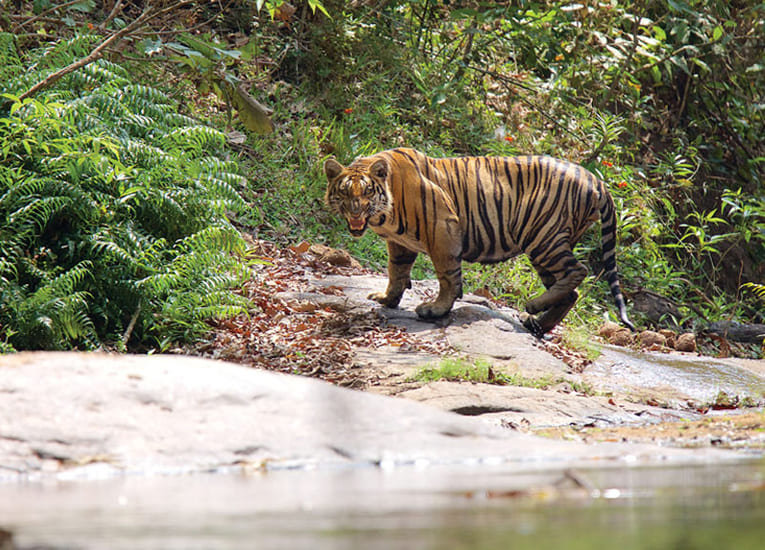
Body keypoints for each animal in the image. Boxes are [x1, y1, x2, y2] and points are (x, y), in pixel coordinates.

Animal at [320, 148, 632, 336]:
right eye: (345, 193)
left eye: (367, 193)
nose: (356, 212)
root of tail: (596, 180)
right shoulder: (401, 244)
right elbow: (396, 271)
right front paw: (387, 299)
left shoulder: (443, 227)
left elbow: (447, 276)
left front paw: (436, 309)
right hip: (547, 245)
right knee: (571, 292)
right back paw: (537, 323)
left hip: (543, 237)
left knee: (578, 271)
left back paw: (532, 306)